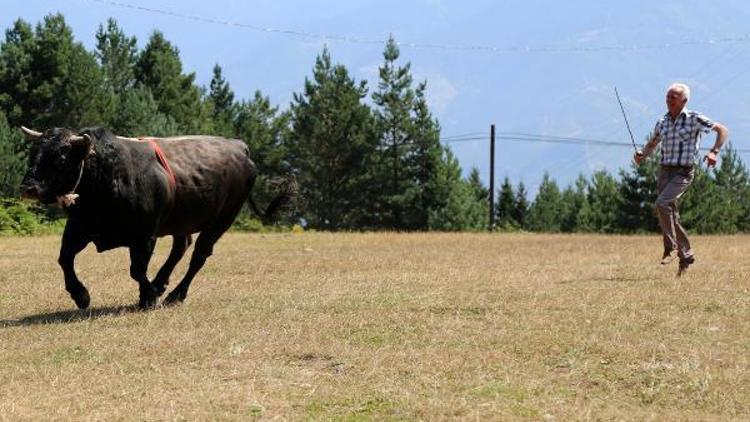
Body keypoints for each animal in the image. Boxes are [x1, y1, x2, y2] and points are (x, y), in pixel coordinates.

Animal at [19, 127, 296, 308]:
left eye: (60, 158)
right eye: (33, 154)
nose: (28, 188)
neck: (109, 175)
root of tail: (240, 147)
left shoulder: (144, 236)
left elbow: (137, 270)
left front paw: (149, 296)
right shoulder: (79, 228)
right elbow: (65, 259)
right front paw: (81, 295)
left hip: (222, 220)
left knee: (199, 255)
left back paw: (176, 294)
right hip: (182, 221)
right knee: (181, 247)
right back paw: (162, 283)